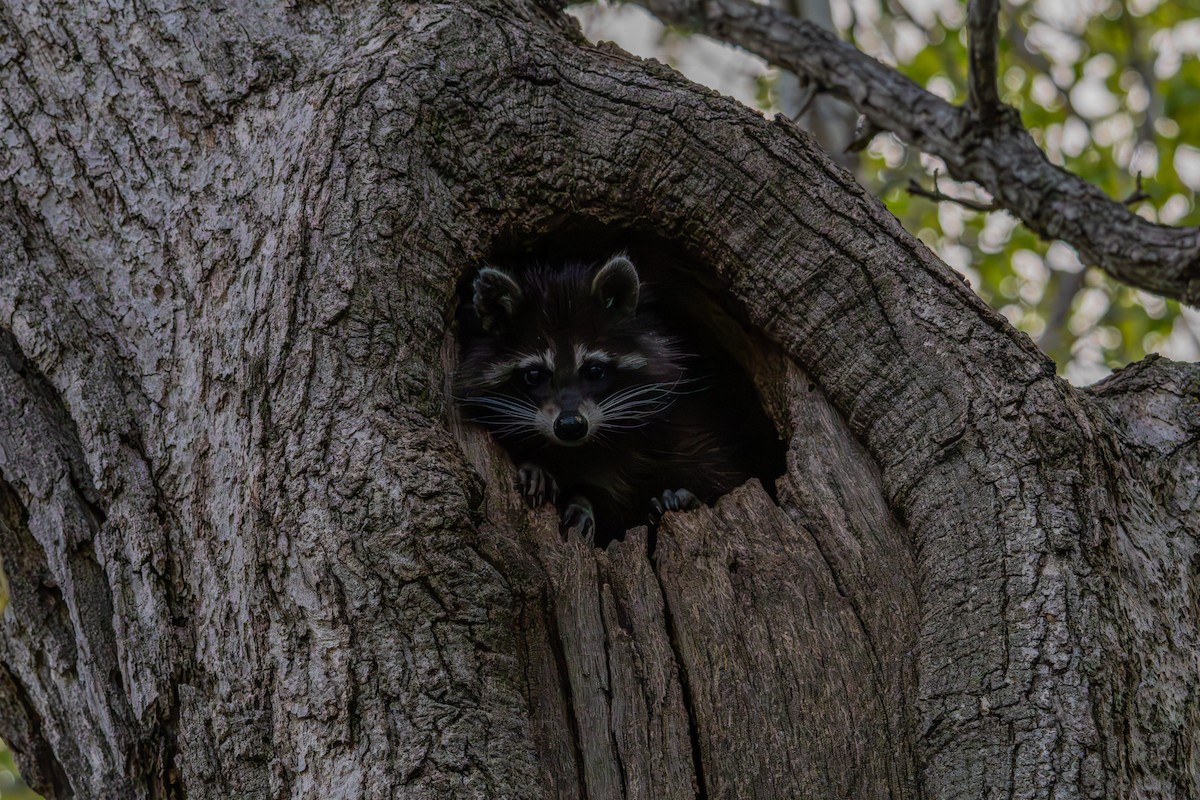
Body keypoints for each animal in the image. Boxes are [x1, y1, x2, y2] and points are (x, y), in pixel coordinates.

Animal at [455, 253, 762, 544]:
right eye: (534, 375)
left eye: (594, 370)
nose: (570, 425)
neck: (586, 446)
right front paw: (541, 472)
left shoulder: (682, 424)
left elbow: (716, 471)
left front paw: (691, 496)